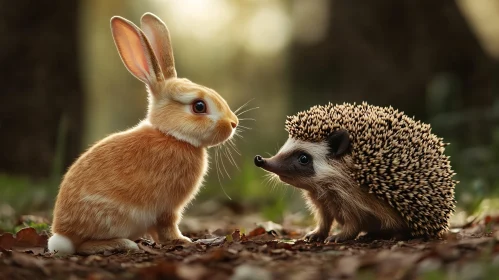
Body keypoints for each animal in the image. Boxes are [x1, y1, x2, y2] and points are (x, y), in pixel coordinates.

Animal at [47, 12, 239, 255]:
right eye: (199, 106)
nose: (233, 123)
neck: (171, 135)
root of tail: (61, 236)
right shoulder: (168, 208)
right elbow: (168, 226)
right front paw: (183, 240)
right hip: (116, 216)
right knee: (84, 245)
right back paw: (124, 244)